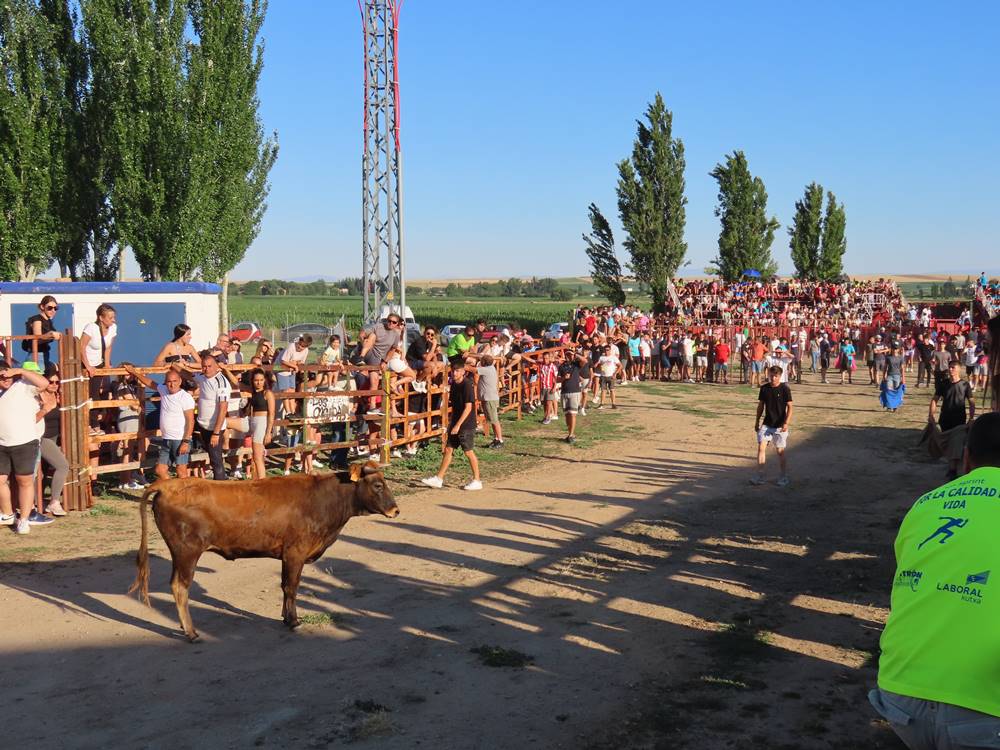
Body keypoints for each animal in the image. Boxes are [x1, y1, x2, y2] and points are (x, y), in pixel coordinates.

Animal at [129, 462, 398, 644]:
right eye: (377, 485)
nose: (395, 510)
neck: (322, 499)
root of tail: (169, 485)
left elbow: (285, 586)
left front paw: (286, 617)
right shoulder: (295, 552)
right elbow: (291, 586)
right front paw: (293, 620)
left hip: (180, 555)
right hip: (187, 552)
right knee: (180, 587)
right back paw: (191, 632)